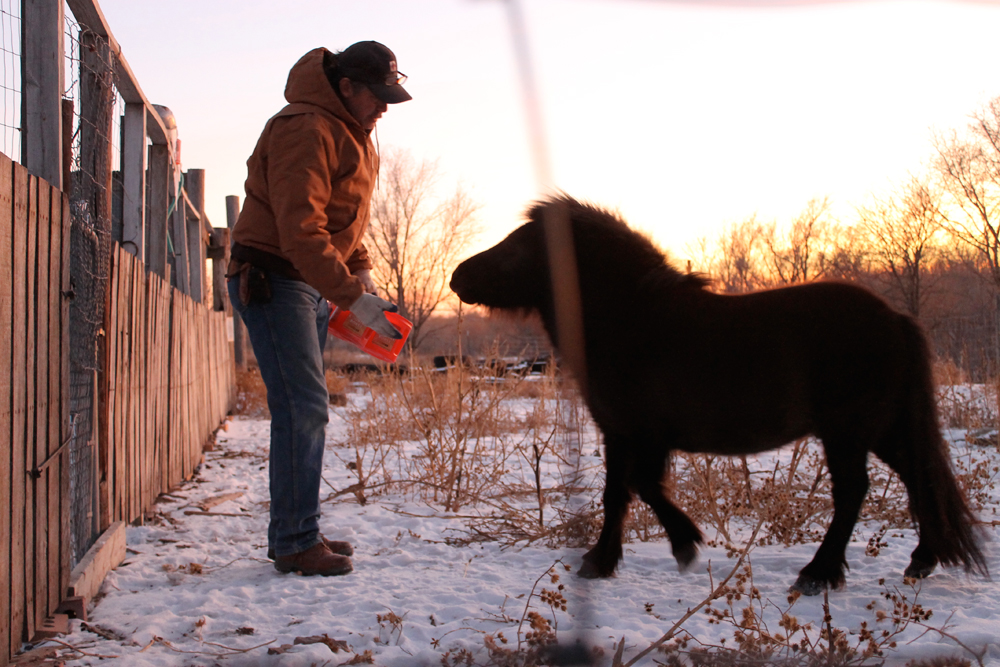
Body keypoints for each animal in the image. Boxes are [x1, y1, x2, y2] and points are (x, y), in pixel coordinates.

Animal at [450, 194, 988, 596]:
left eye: (519, 246)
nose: (457, 277)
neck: (633, 322)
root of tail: (895, 318)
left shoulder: (641, 434)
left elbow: (640, 488)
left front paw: (685, 545)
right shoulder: (620, 433)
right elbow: (618, 495)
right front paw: (602, 561)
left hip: (848, 432)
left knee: (854, 492)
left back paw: (818, 574)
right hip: (882, 429)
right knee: (919, 479)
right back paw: (921, 561)